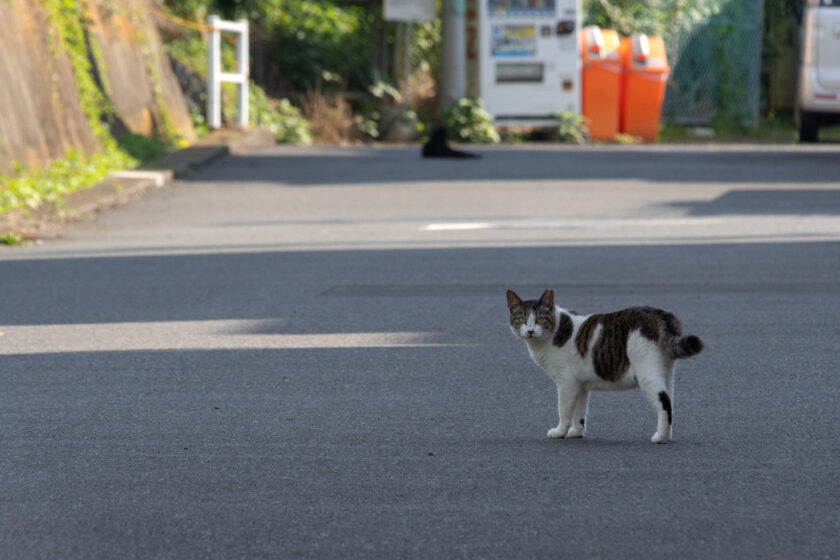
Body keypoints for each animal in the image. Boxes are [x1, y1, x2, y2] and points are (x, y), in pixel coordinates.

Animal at [508, 288, 704, 442]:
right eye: (521, 319)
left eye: (540, 319)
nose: (530, 331)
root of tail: (660, 314)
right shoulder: (580, 385)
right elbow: (579, 411)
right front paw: (576, 432)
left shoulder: (566, 383)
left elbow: (564, 410)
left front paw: (560, 431)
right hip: (666, 372)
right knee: (670, 401)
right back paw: (667, 434)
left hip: (646, 373)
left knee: (664, 402)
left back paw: (661, 437)